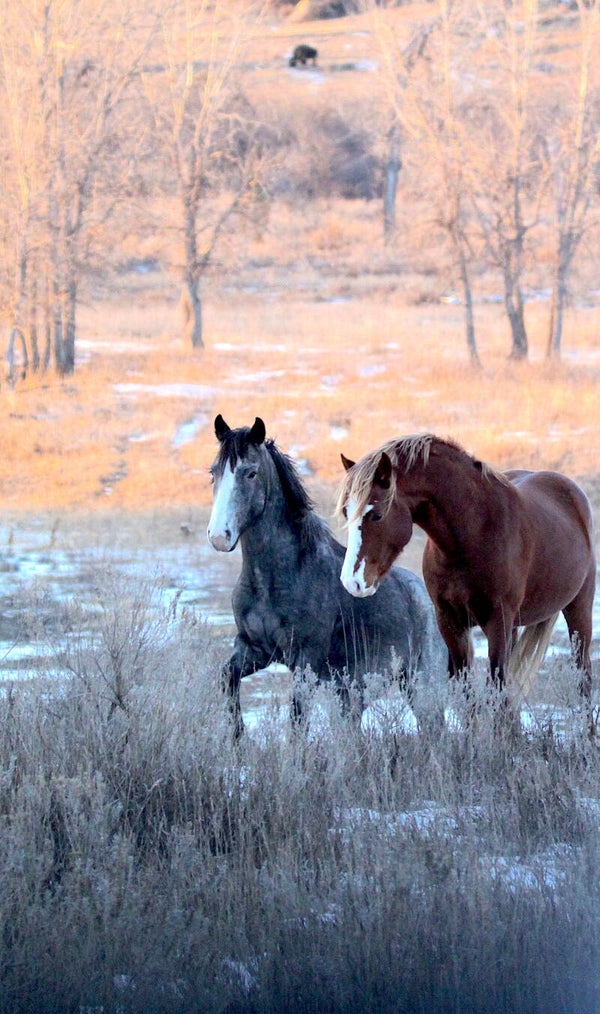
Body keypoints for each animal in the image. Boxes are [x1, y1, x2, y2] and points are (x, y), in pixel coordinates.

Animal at [207, 416, 446, 736]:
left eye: (251, 473)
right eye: (214, 473)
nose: (219, 537)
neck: (273, 581)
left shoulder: (304, 659)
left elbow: (297, 718)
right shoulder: (253, 649)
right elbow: (227, 678)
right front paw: (238, 738)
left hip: (421, 684)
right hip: (350, 692)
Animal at [337, 433, 596, 720]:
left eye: (377, 515)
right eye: (347, 512)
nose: (352, 582)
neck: (473, 534)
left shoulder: (497, 622)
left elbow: (495, 689)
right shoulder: (450, 621)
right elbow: (467, 695)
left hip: (578, 611)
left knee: (583, 678)